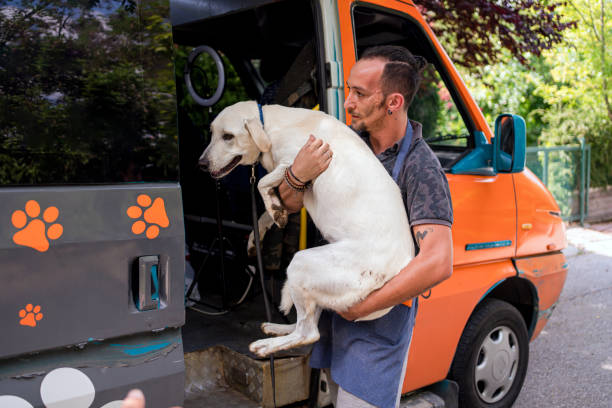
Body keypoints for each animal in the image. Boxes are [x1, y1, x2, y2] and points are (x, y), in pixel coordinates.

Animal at [198, 102, 414, 356]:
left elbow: (261, 183)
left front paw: (273, 207)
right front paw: (264, 226)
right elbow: (265, 211)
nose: (201, 164)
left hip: (302, 264)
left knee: (308, 333)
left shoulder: (294, 162)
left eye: (228, 137)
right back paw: (278, 329)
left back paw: (266, 346)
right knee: (305, 323)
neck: (269, 126)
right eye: (212, 133)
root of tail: (398, 268)